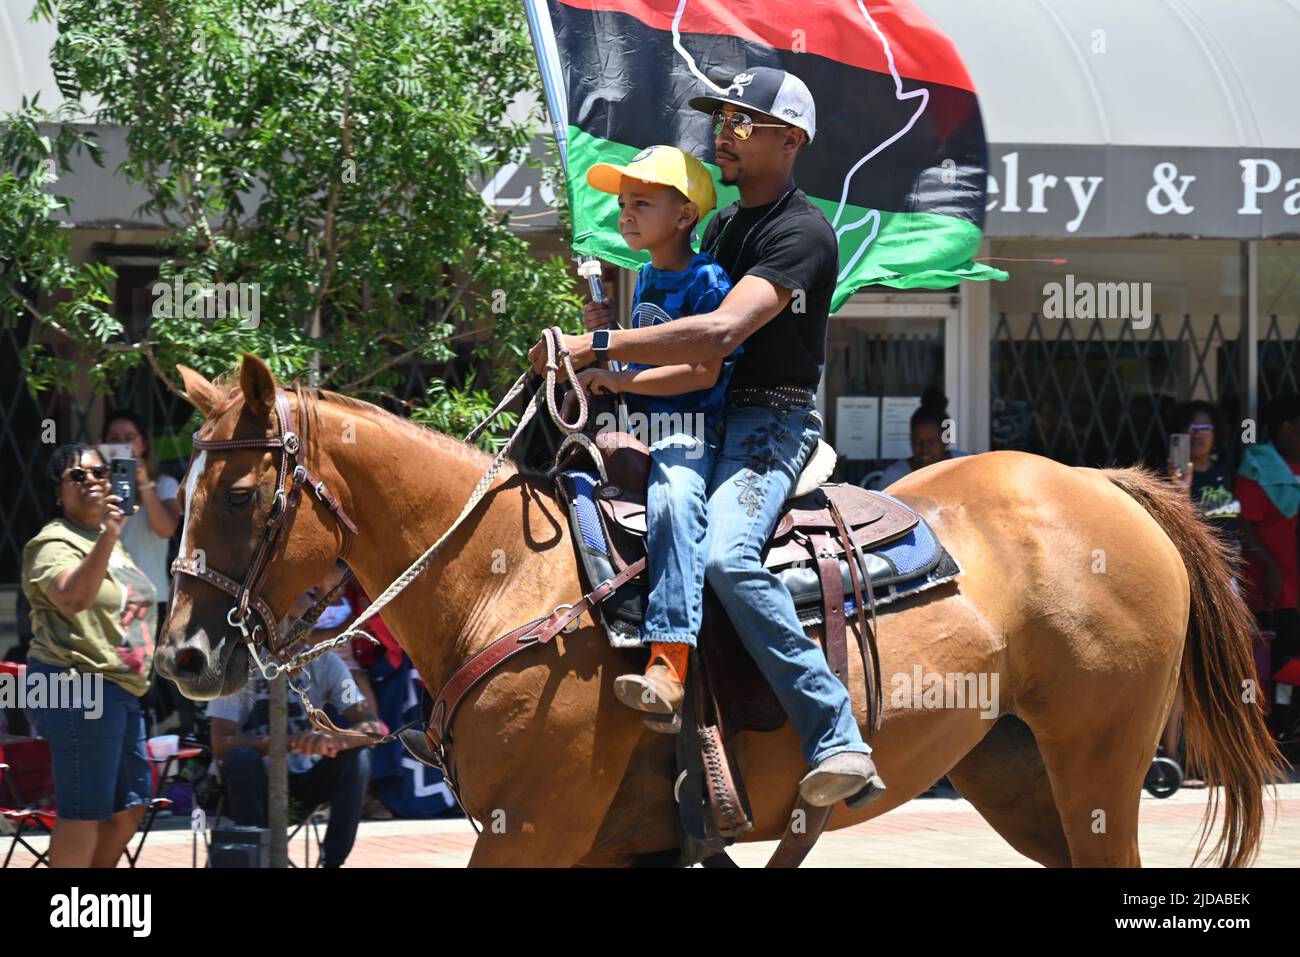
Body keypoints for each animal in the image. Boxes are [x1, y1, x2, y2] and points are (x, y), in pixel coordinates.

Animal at [157, 356, 1284, 868]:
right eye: (187, 487)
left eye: (245, 496)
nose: (184, 657)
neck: (498, 584)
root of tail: (1102, 484)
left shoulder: (531, 831)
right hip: (1018, 777)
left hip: (1095, 770)